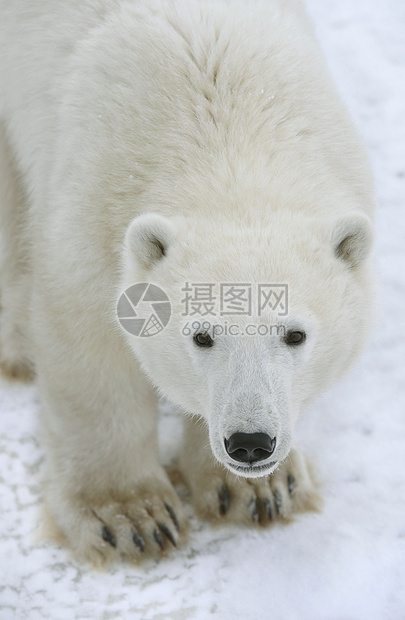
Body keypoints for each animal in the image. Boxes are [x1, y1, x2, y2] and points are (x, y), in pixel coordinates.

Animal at [0, 0, 374, 560]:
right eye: (201, 335)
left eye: (295, 334)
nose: (250, 444)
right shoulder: (93, 207)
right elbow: (90, 352)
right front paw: (131, 517)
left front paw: (261, 489)